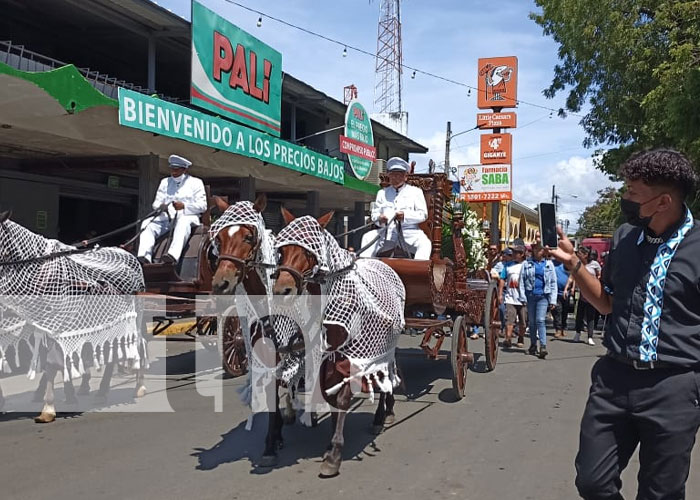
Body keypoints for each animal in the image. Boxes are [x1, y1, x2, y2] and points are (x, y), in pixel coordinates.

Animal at [274, 207, 404, 476]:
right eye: (282, 250)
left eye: (308, 251)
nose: (282, 290)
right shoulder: (326, 355)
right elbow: (328, 394)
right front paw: (329, 441)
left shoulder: (352, 356)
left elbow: (342, 398)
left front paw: (334, 453)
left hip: (384, 345)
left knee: (385, 374)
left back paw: (382, 415)